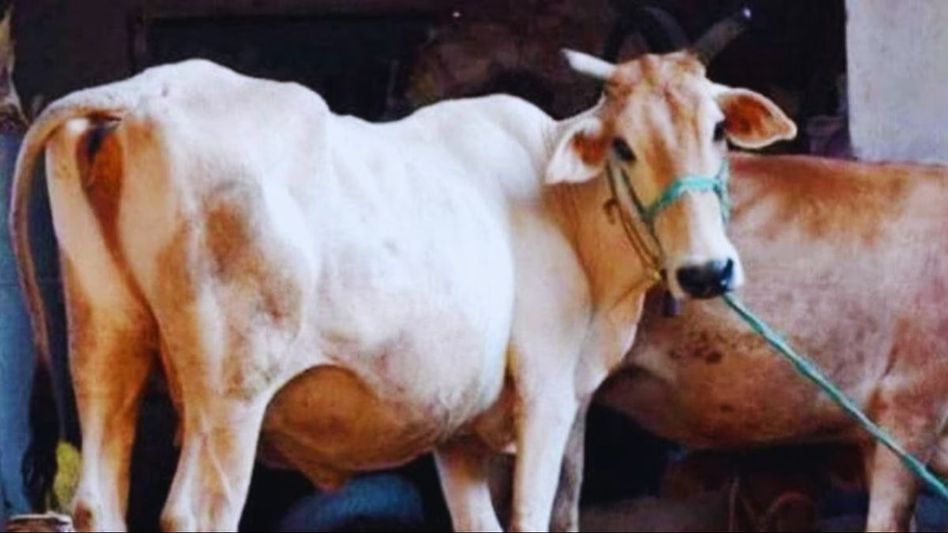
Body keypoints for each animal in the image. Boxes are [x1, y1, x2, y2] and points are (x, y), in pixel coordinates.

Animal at [9, 19, 794, 533]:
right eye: (625, 146)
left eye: (717, 130)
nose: (707, 271)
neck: (561, 201)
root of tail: (143, 94)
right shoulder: (547, 394)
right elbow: (534, 516)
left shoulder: (459, 433)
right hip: (229, 394)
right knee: (194, 512)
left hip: (105, 344)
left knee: (97, 502)